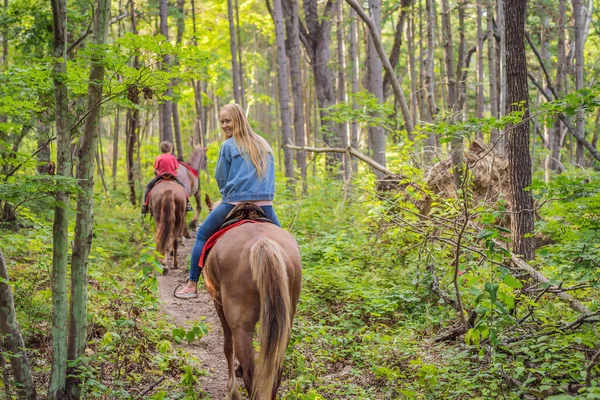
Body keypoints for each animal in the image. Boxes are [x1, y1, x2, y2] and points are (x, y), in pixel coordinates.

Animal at [203, 203, 304, 400]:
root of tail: (262, 243)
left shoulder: (218, 303)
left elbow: (228, 346)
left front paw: (232, 389)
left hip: (240, 325)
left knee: (251, 373)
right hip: (285, 323)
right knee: (275, 371)